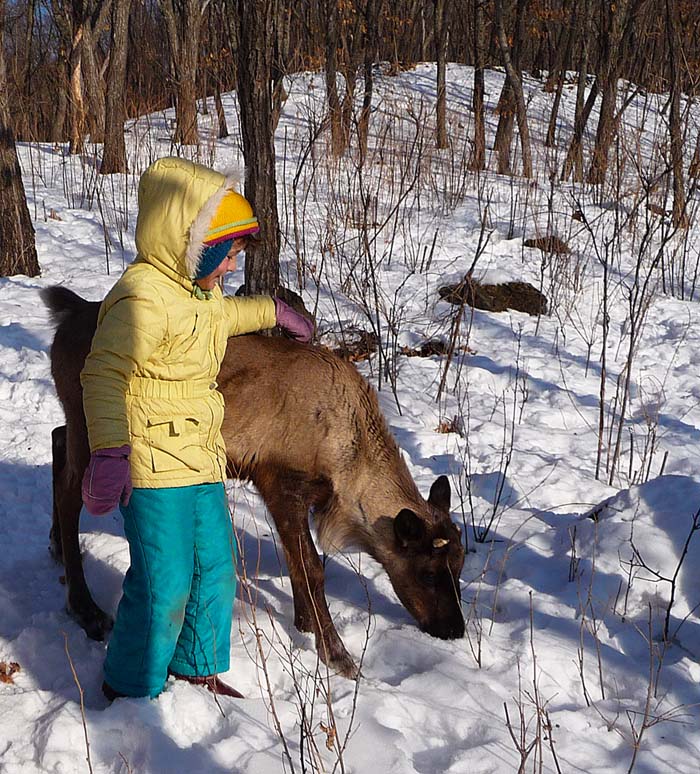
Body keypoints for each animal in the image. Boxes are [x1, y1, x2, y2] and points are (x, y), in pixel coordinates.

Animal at [39, 286, 464, 680]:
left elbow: (296, 560)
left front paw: (304, 622)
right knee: (69, 491)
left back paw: (57, 545)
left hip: (76, 427)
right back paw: (86, 608)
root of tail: (68, 315)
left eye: (459, 566)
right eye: (427, 572)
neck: (347, 460)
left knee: (57, 440)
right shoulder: (279, 481)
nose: (455, 629)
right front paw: (336, 654)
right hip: (93, 431)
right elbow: (312, 567)